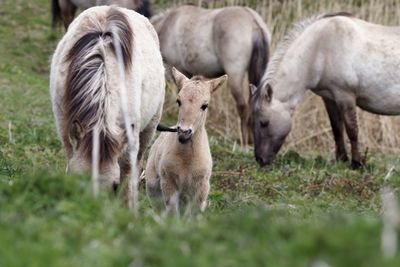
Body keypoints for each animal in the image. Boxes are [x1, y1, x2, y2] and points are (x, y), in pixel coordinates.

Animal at [145, 68, 227, 215]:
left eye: (204, 105)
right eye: (178, 101)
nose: (184, 132)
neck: (186, 159)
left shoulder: (201, 188)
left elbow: (194, 214)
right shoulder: (169, 181)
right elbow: (172, 211)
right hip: (153, 186)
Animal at [250, 12, 400, 170]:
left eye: (264, 123)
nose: (260, 159)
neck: (320, 49)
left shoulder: (346, 97)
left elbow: (352, 130)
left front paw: (356, 163)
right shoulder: (329, 98)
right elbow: (337, 129)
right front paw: (342, 159)